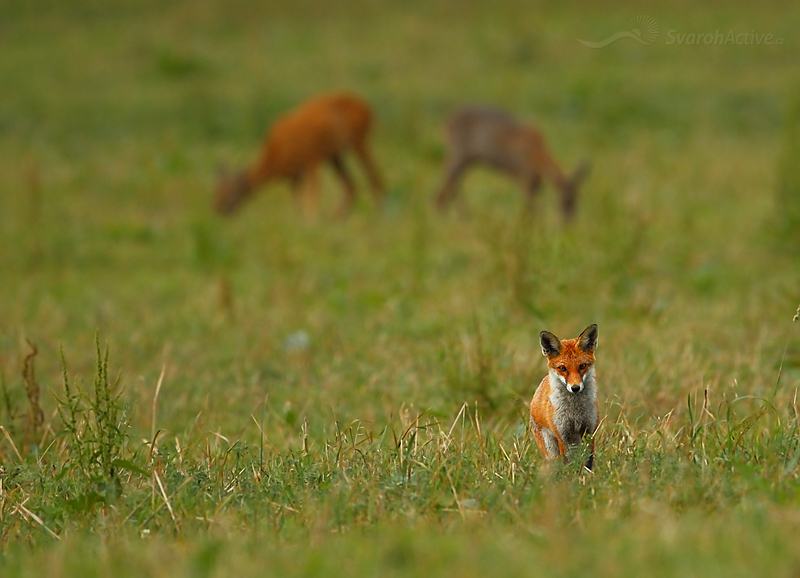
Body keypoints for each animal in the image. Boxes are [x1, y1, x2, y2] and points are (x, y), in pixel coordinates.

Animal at [215, 91, 384, 217]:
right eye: (216, 193)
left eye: (227, 194)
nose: (216, 209)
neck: (275, 153)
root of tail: (369, 108)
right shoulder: (294, 175)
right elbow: (297, 202)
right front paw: (299, 222)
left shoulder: (310, 159)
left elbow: (311, 197)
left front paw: (311, 222)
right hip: (335, 155)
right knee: (351, 185)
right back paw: (337, 216)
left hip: (359, 142)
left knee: (374, 179)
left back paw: (377, 215)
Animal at [435, 106, 590, 221]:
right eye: (563, 198)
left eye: (577, 197)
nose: (570, 220)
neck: (538, 155)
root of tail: (446, 122)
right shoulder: (525, 177)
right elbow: (531, 207)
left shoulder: (535, 182)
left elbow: (534, 206)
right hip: (460, 154)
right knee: (449, 178)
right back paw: (446, 209)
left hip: (466, 159)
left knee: (452, 180)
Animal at [529, 324, 599, 471]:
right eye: (563, 368)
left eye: (582, 366)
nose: (575, 388)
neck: (575, 412)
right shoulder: (562, 435)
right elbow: (568, 462)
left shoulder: (590, 430)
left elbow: (589, 461)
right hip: (551, 449)